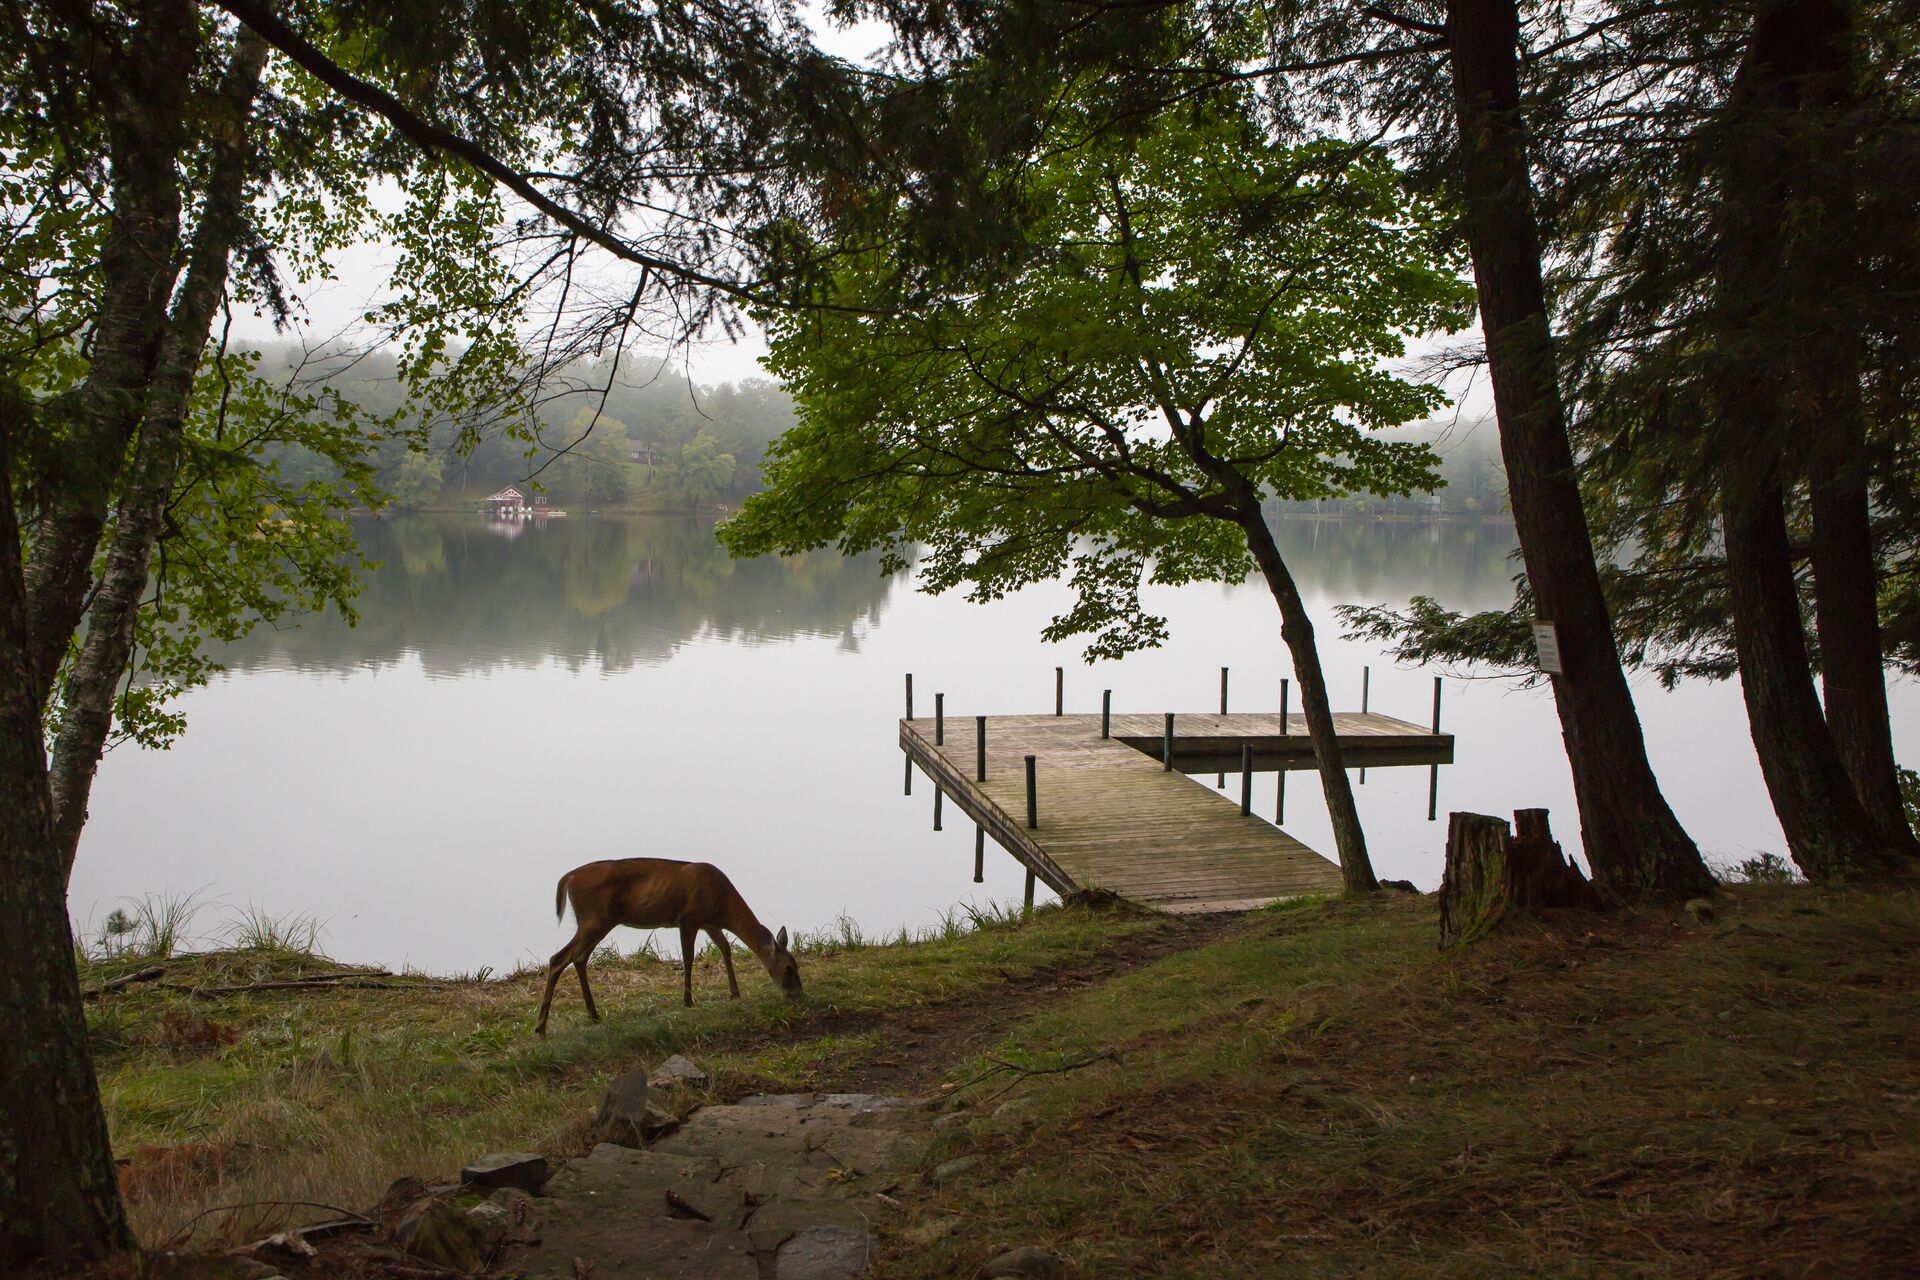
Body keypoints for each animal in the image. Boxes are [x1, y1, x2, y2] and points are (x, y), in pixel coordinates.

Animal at [534, 858, 803, 1036]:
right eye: (789, 968)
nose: (798, 995)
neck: (723, 904)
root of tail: (568, 878)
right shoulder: (689, 918)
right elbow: (689, 957)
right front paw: (688, 1000)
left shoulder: (709, 923)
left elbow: (725, 948)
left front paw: (734, 993)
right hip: (594, 918)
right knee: (559, 958)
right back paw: (541, 1026)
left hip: (596, 922)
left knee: (578, 958)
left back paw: (593, 1014)